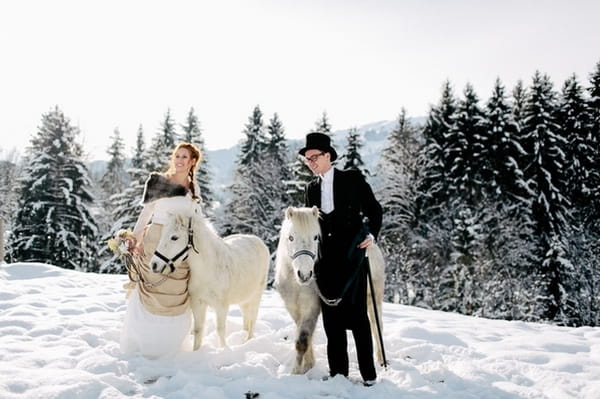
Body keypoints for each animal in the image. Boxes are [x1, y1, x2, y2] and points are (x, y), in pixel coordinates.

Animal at [149, 205, 270, 352]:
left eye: (174, 237)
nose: (154, 265)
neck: (207, 270)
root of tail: (257, 240)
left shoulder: (221, 306)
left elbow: (220, 330)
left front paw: (223, 350)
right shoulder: (197, 303)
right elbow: (198, 330)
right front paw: (196, 352)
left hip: (256, 296)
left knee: (252, 319)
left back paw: (249, 341)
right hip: (244, 298)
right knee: (246, 318)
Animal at [276, 206, 386, 376]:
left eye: (316, 237)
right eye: (291, 238)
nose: (305, 274)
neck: (297, 284)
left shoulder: (311, 308)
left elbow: (303, 340)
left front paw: (296, 372)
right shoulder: (294, 308)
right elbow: (303, 335)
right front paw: (308, 365)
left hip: (373, 298)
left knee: (376, 324)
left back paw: (381, 360)